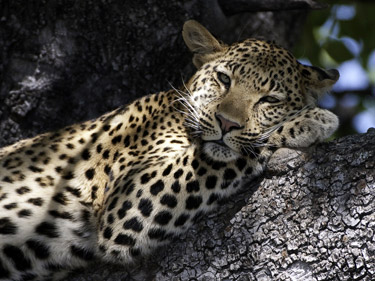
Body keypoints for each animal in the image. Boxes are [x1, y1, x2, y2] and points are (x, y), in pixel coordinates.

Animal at [0, 20, 340, 280]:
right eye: (224, 79)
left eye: (269, 100)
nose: (226, 123)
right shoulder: (128, 201)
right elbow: (236, 152)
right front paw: (311, 121)